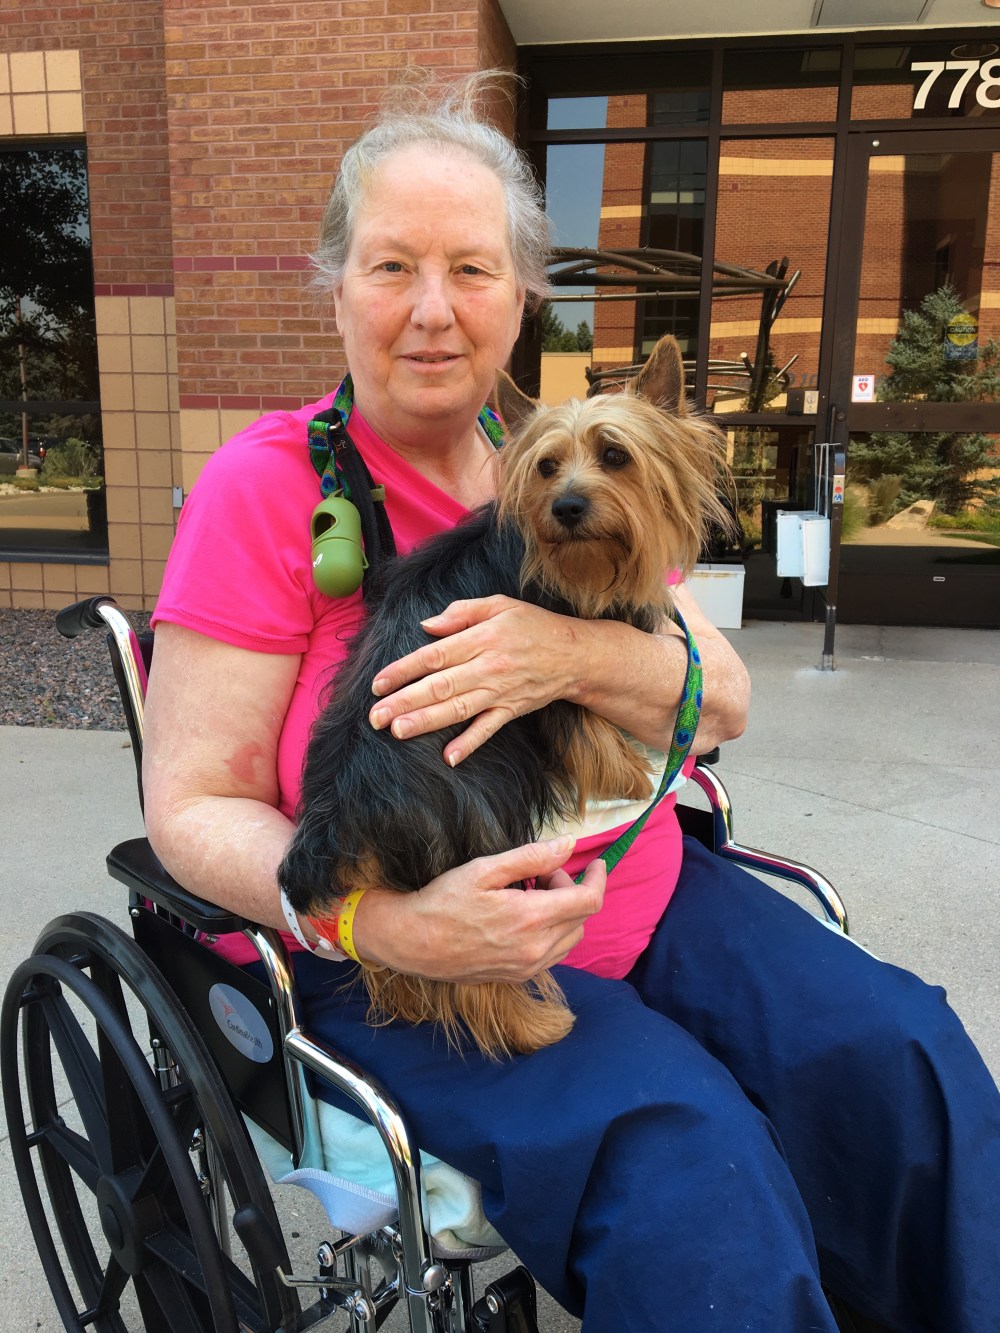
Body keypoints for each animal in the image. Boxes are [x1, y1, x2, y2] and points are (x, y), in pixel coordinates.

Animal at [279, 335, 732, 1058]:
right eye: (546, 467)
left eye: (615, 455)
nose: (567, 507)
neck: (573, 562)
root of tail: (338, 820)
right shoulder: (552, 685)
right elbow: (586, 724)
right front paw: (631, 773)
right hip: (480, 842)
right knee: (470, 976)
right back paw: (533, 1025)